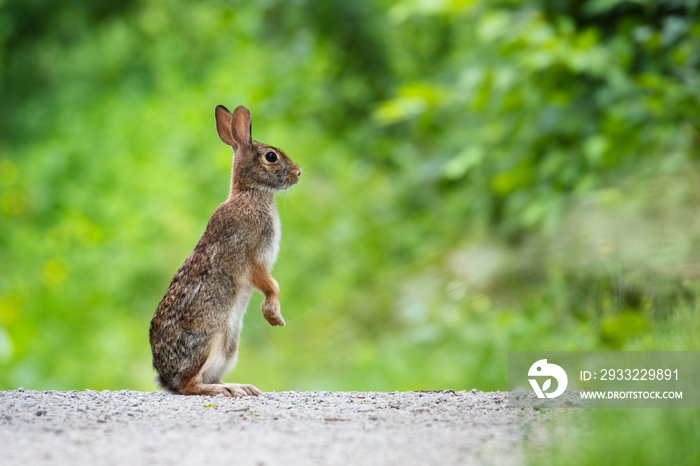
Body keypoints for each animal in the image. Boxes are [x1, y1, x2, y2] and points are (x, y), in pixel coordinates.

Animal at [149, 104, 300, 396]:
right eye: (271, 156)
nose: (298, 173)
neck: (249, 192)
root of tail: (164, 375)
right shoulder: (251, 258)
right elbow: (270, 285)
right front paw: (273, 316)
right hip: (211, 337)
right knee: (189, 385)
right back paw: (228, 390)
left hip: (230, 346)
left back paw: (242, 386)